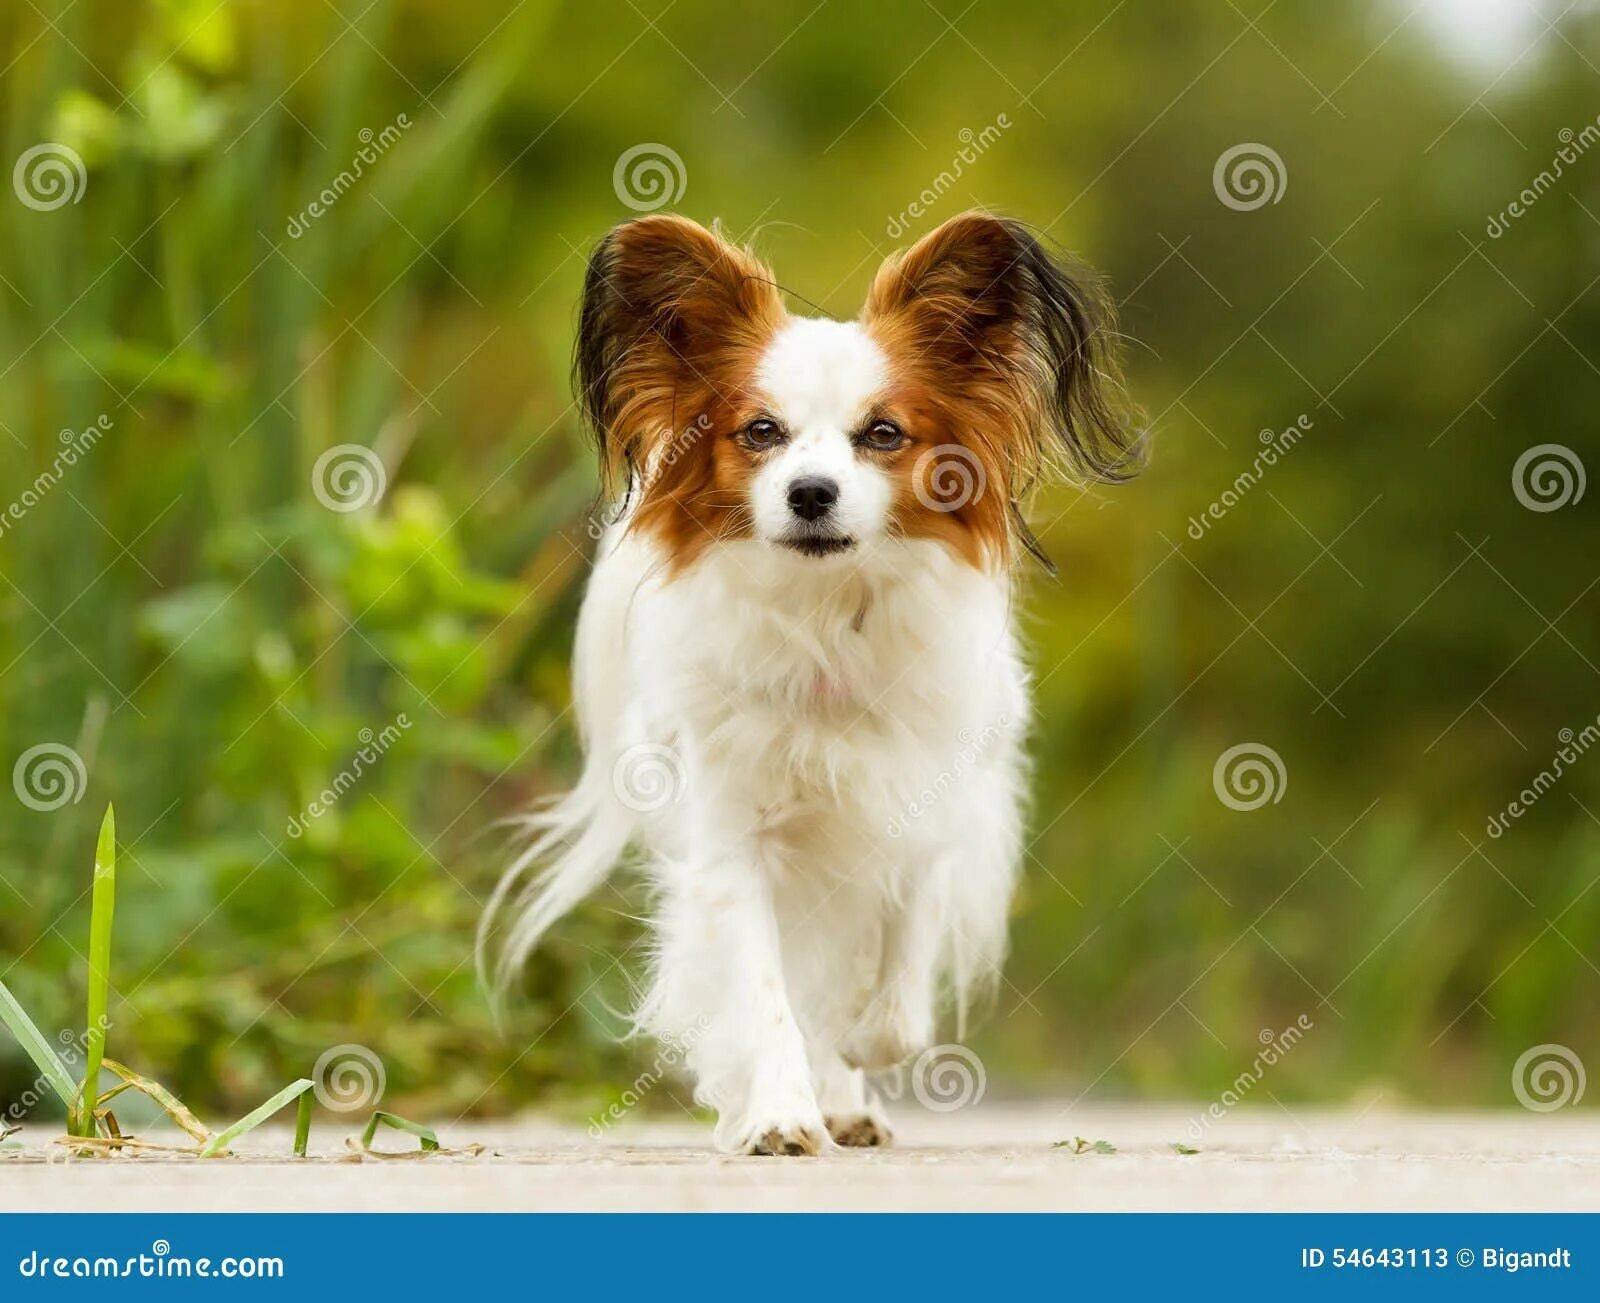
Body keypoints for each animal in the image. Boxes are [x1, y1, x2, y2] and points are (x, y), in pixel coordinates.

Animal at [480, 211, 1145, 1152]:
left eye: (884, 435)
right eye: (761, 432)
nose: (810, 493)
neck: (828, 618)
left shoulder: (929, 810)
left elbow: (897, 986)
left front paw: (858, 1054)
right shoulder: (733, 842)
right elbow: (764, 992)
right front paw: (779, 1112)